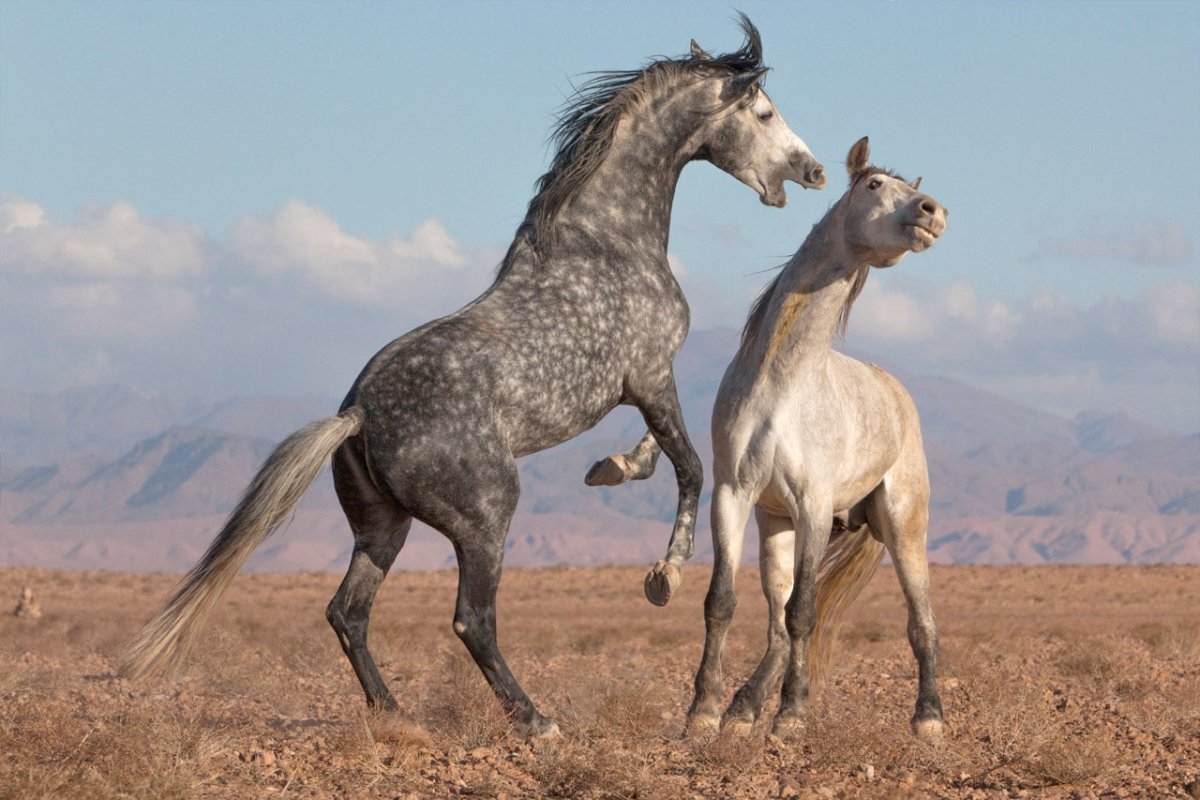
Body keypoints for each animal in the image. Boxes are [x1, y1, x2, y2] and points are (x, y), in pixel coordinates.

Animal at [122, 15, 826, 740]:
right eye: (764, 113)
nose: (813, 170)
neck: (606, 240)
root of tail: (357, 415)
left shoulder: (644, 384)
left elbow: (661, 452)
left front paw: (611, 469)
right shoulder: (651, 374)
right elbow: (689, 468)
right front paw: (664, 575)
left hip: (383, 526)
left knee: (348, 612)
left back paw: (398, 717)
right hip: (487, 515)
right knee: (471, 620)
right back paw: (536, 721)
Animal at [584, 137, 948, 741]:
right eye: (875, 185)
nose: (933, 212)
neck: (783, 386)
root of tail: (898, 395)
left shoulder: (815, 507)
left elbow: (806, 612)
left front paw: (793, 715)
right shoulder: (735, 496)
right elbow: (723, 602)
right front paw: (705, 710)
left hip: (902, 524)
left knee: (920, 621)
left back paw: (928, 718)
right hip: (776, 527)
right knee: (777, 625)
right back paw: (744, 707)